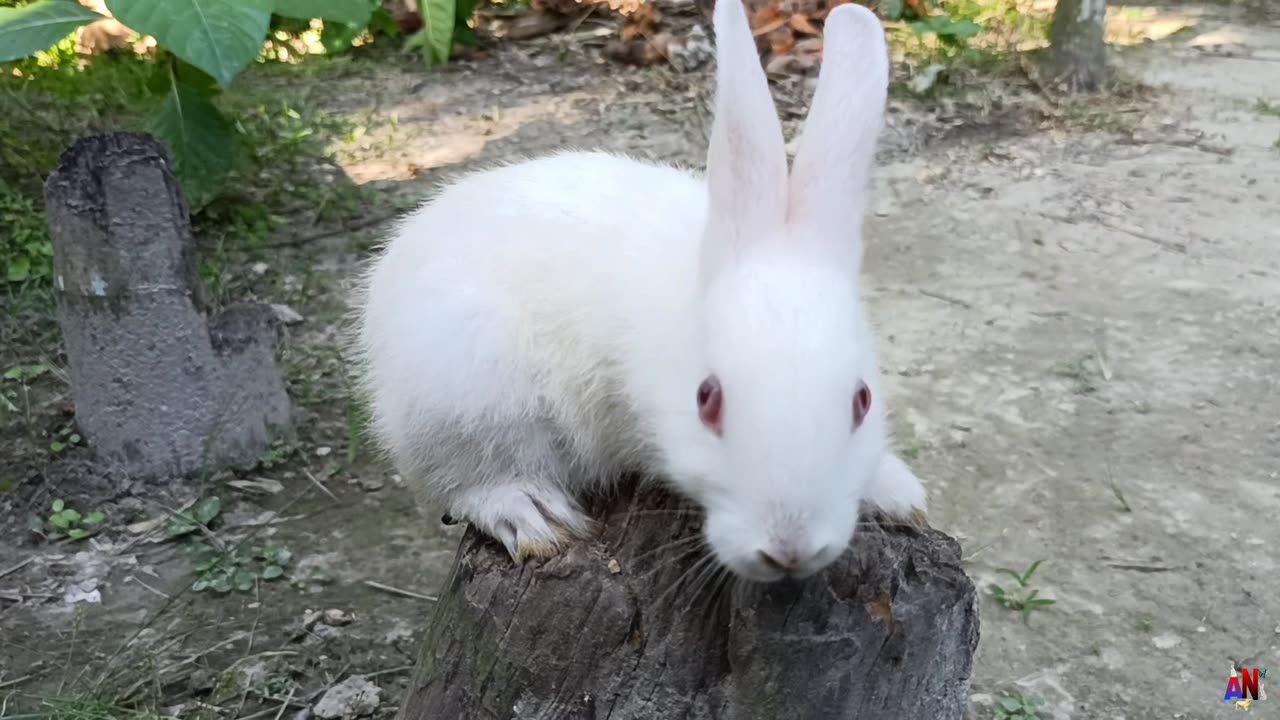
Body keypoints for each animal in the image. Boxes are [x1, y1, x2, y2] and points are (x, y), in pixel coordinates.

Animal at [355, 0, 926, 579]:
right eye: (707, 400)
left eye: (862, 400)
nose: (790, 551)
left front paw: (900, 495)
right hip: (467, 387)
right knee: (465, 478)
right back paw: (534, 515)